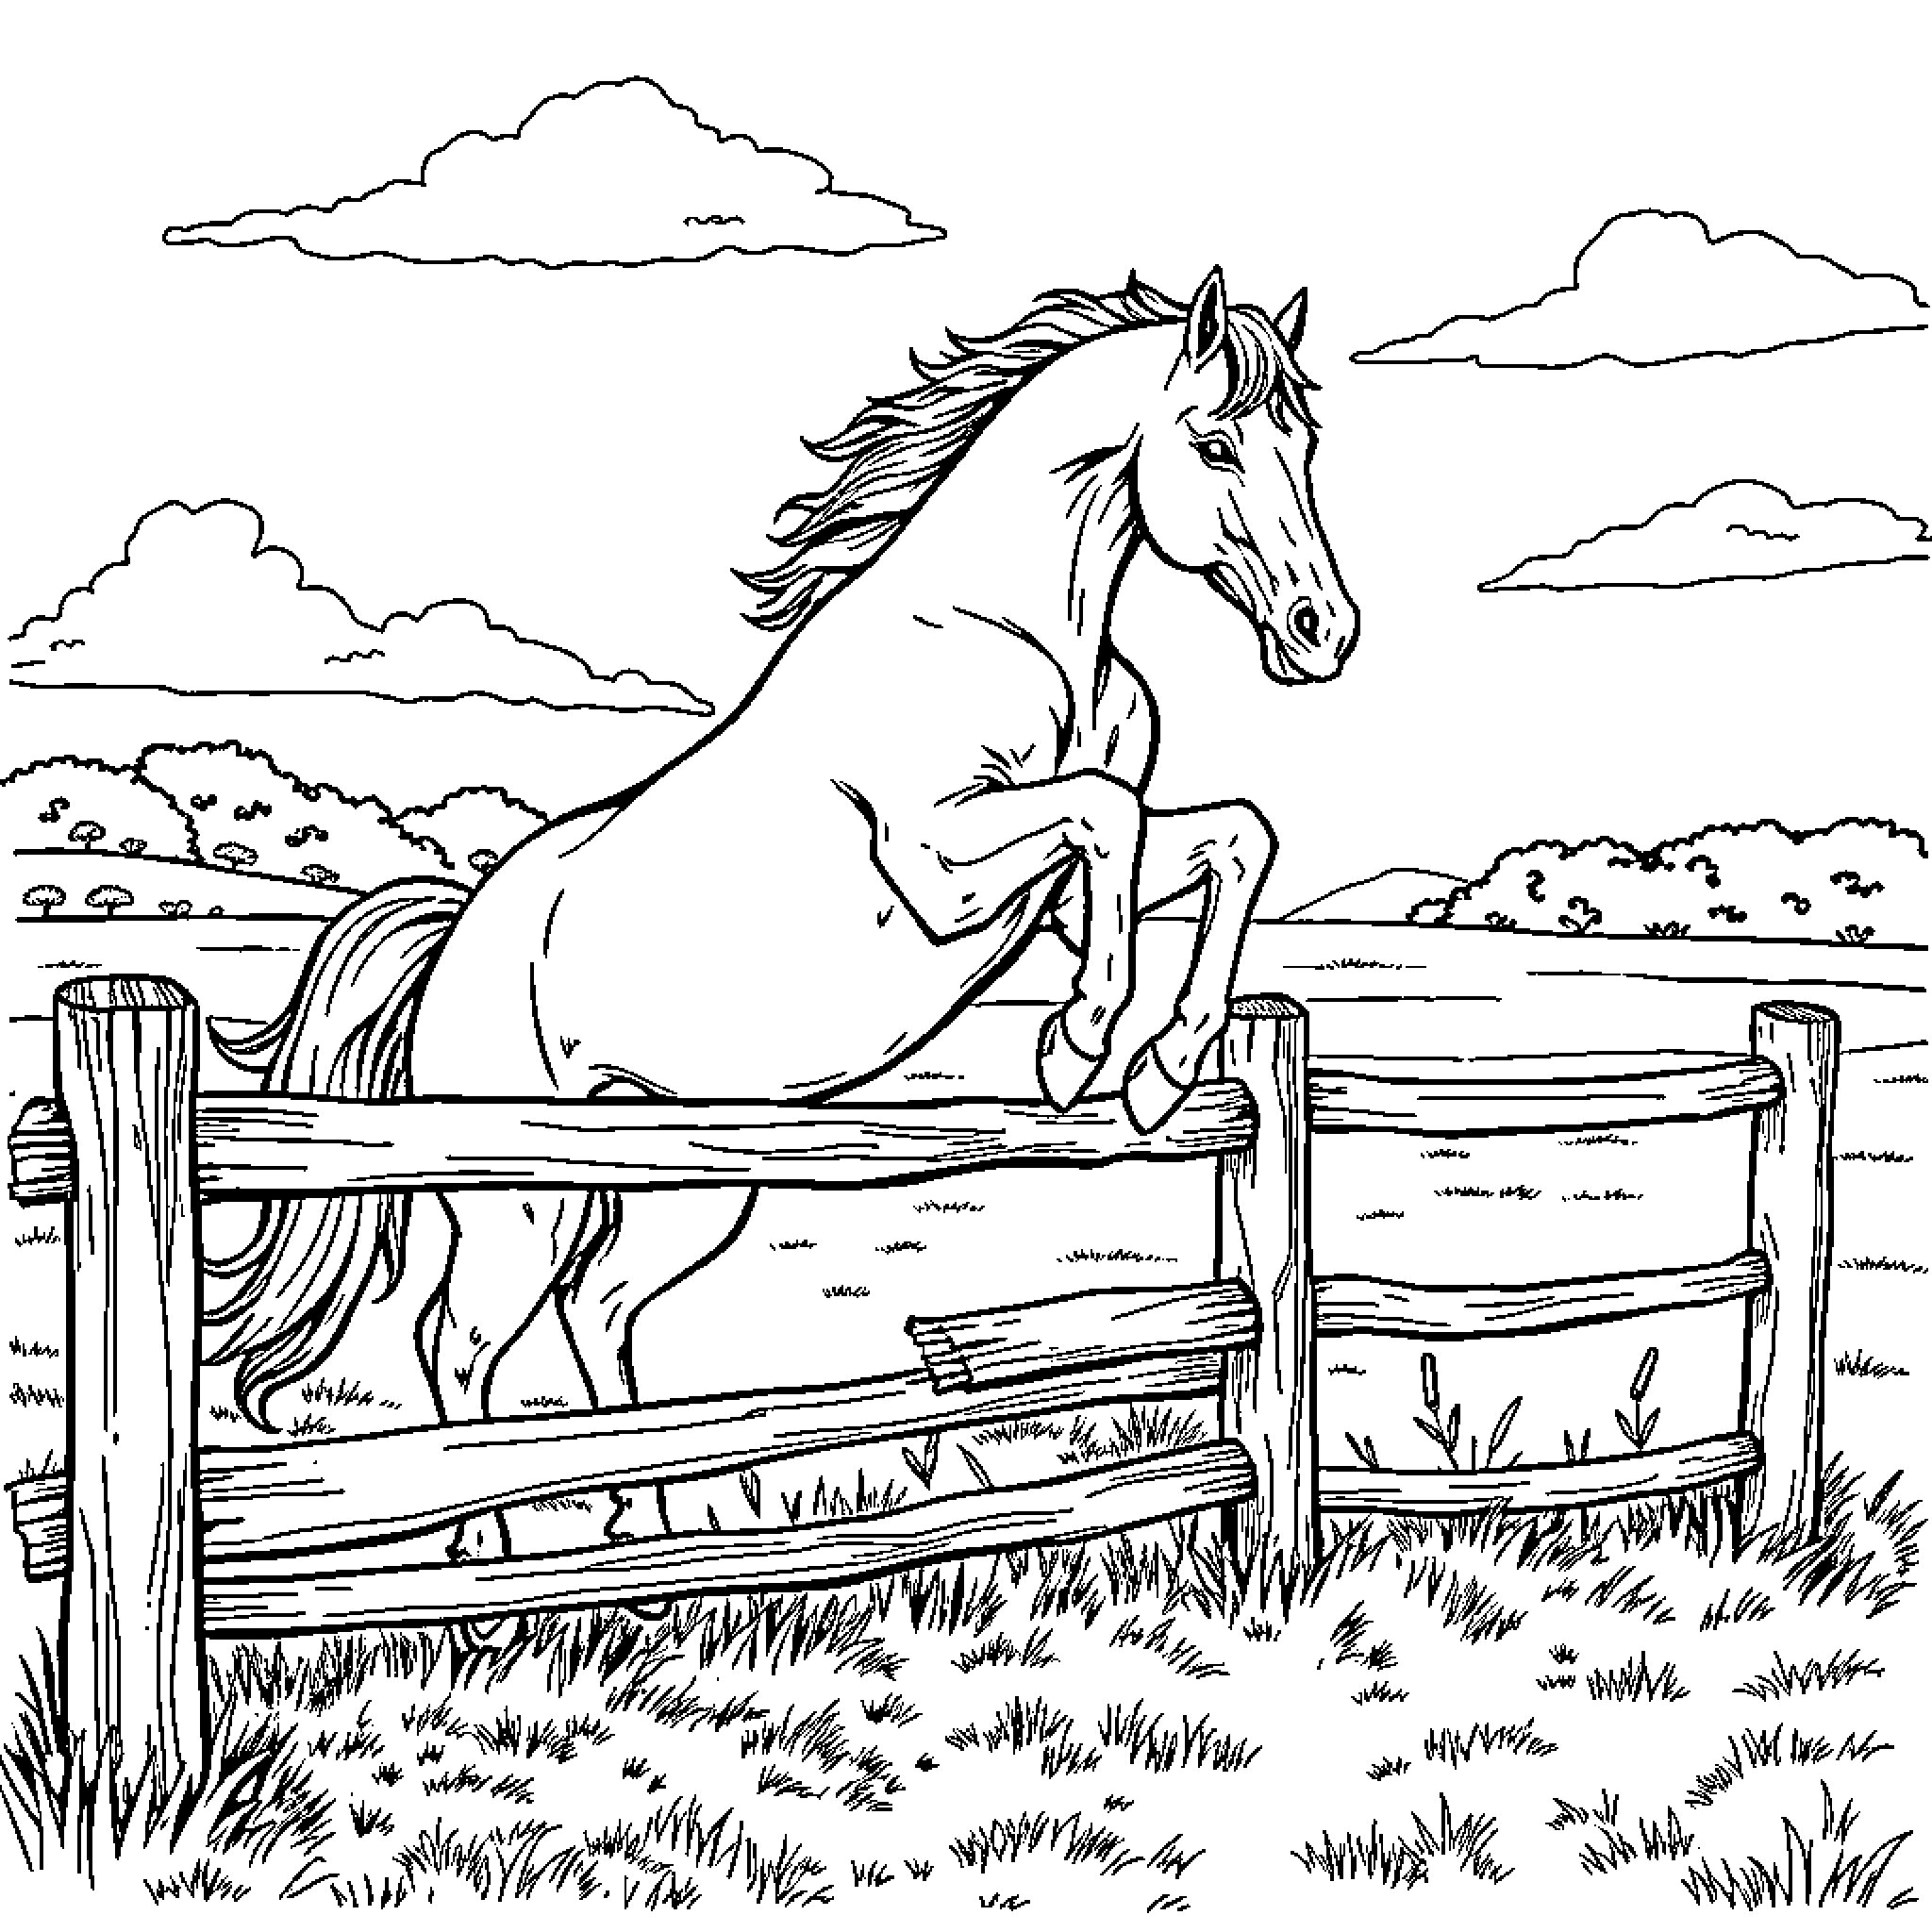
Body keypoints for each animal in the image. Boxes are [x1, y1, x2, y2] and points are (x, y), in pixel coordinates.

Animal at [206, 266, 1360, 1583]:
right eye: (1214, 442)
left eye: (1302, 442)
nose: (1323, 631)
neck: (1007, 634)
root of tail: (458, 937)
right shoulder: (941, 862)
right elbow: (1107, 819)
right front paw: (1083, 1046)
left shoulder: (1055, 886)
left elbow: (1228, 835)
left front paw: (1160, 1062)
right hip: (517, 1190)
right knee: (462, 1343)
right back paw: (495, 1560)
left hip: (675, 1179)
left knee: (598, 1313)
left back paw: (650, 1540)